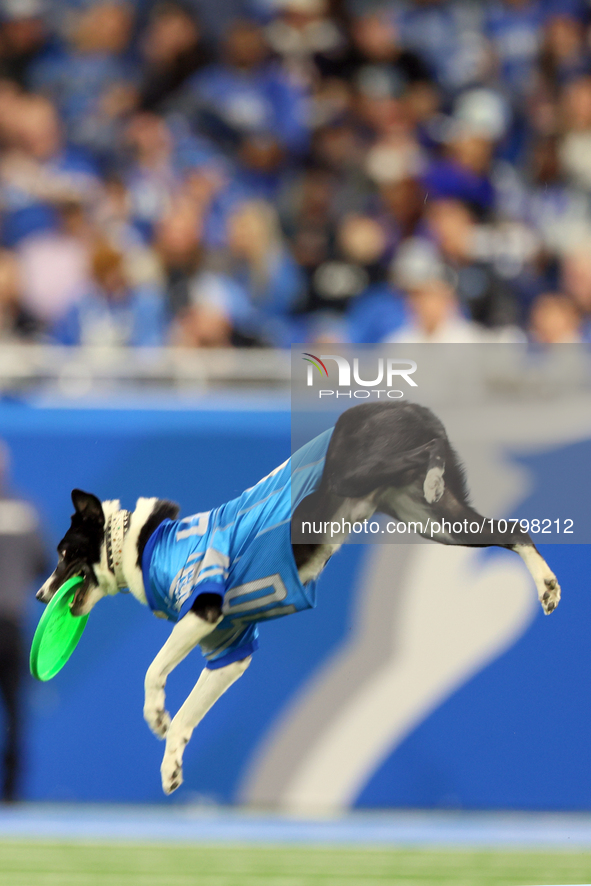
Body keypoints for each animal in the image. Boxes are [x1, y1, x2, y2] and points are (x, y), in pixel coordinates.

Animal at [37, 402, 560, 796]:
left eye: (63, 553)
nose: (42, 594)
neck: (139, 543)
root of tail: (403, 403)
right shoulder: (229, 650)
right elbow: (188, 718)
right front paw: (170, 766)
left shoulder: (203, 608)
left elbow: (153, 670)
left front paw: (154, 714)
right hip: (435, 521)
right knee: (515, 529)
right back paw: (547, 586)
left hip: (361, 473)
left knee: (425, 454)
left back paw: (433, 469)